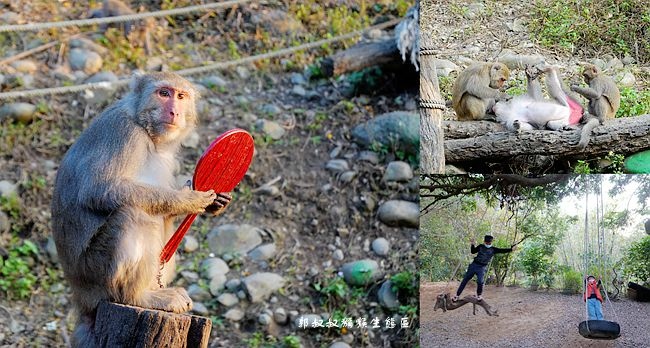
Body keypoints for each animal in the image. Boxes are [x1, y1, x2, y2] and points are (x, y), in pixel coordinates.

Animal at [52, 72, 232, 346]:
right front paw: (188, 199)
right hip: (95, 272)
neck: (145, 129)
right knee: (133, 215)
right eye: (164, 93)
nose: (174, 111)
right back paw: (137, 297)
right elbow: (99, 189)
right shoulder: (125, 134)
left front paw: (215, 201)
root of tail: (81, 296)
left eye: (181, 96)